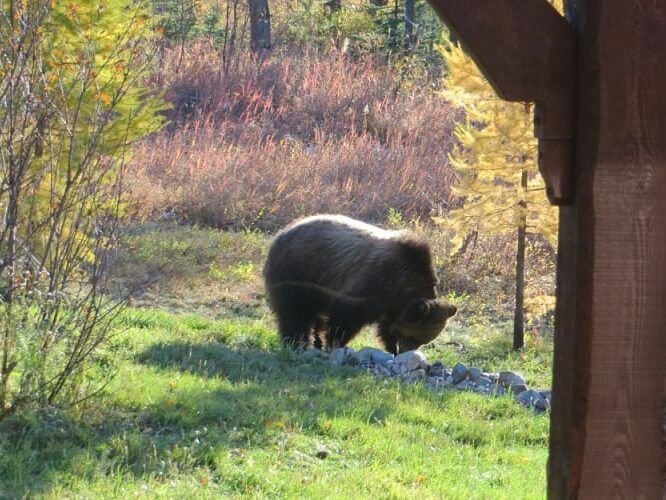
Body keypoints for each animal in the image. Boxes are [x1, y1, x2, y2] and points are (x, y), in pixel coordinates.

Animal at [263, 214, 457, 354]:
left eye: (423, 341)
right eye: (413, 337)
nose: (404, 351)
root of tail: (281, 234)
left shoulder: (391, 305)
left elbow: (386, 327)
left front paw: (390, 347)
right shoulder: (368, 287)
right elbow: (345, 321)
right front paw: (335, 343)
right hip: (297, 273)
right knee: (294, 313)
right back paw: (296, 343)